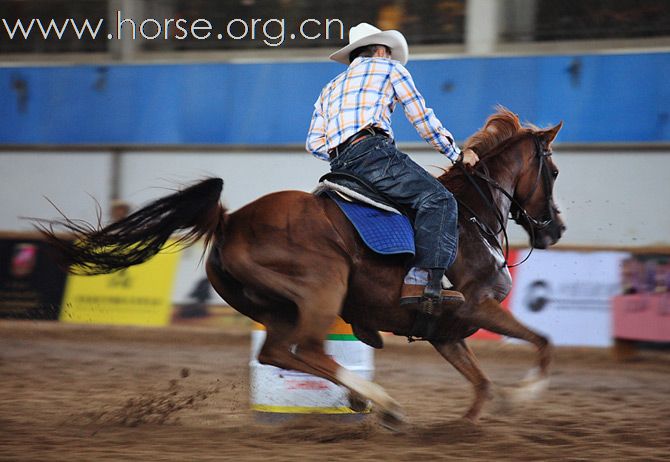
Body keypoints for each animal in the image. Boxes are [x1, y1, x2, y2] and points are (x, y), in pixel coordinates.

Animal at [39, 108, 568, 430]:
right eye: (555, 171)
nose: (556, 229)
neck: (470, 215)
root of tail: (230, 220)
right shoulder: (478, 306)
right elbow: (544, 343)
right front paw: (526, 394)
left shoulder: (446, 331)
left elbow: (481, 384)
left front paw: (476, 419)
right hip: (322, 288)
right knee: (308, 349)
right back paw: (383, 402)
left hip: (275, 308)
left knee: (279, 352)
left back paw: (370, 401)